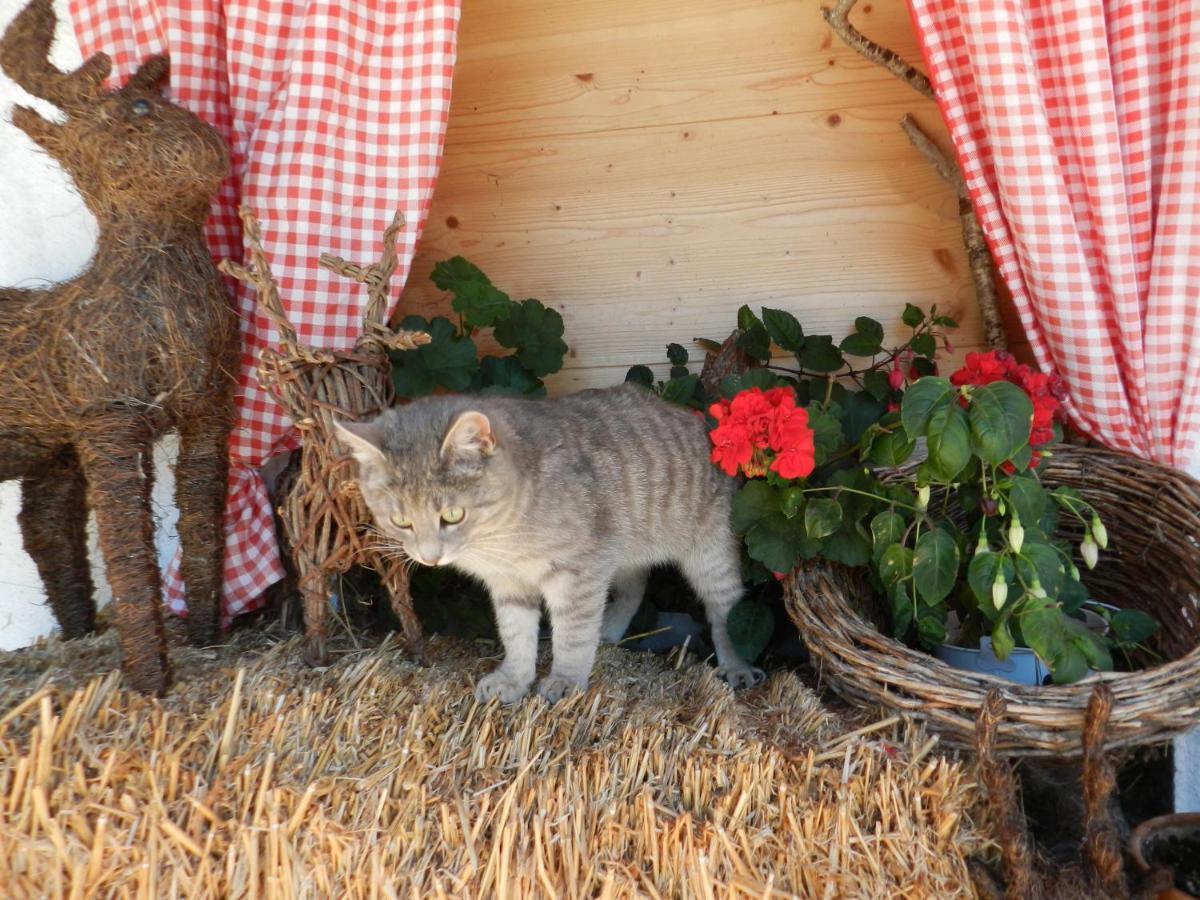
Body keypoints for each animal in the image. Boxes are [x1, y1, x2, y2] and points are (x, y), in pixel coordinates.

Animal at [333, 386, 763, 705]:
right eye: (401, 521)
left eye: (452, 515)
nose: (429, 557)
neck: (501, 538)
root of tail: (702, 423)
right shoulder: (509, 584)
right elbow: (516, 633)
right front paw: (514, 679)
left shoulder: (579, 572)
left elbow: (572, 633)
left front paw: (566, 679)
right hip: (624, 550)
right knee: (634, 588)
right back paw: (609, 630)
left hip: (710, 557)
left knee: (727, 613)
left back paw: (736, 665)